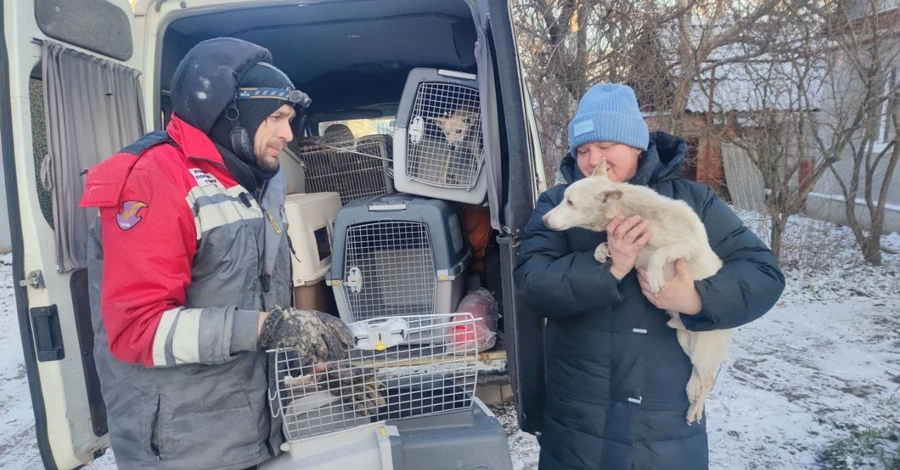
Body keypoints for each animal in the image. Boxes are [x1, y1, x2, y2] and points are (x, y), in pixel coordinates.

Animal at [540, 159, 732, 426]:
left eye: (569, 202)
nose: (543, 220)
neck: (638, 213)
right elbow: (609, 245)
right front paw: (602, 251)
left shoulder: (688, 246)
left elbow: (661, 252)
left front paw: (654, 277)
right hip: (685, 341)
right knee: (697, 371)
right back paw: (692, 386)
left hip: (704, 347)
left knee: (710, 380)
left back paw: (695, 409)